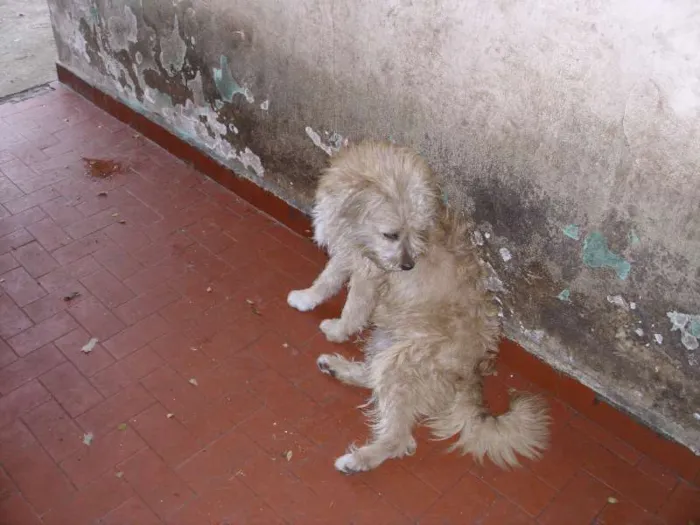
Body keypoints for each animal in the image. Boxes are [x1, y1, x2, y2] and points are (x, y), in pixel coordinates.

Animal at [288, 141, 548, 472]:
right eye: (391, 234)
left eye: (418, 231)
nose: (408, 266)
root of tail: (473, 372)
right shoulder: (348, 254)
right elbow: (327, 279)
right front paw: (306, 298)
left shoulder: (368, 274)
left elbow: (353, 308)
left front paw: (338, 330)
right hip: (389, 345)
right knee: (373, 378)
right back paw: (337, 368)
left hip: (404, 359)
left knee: (400, 438)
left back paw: (358, 459)